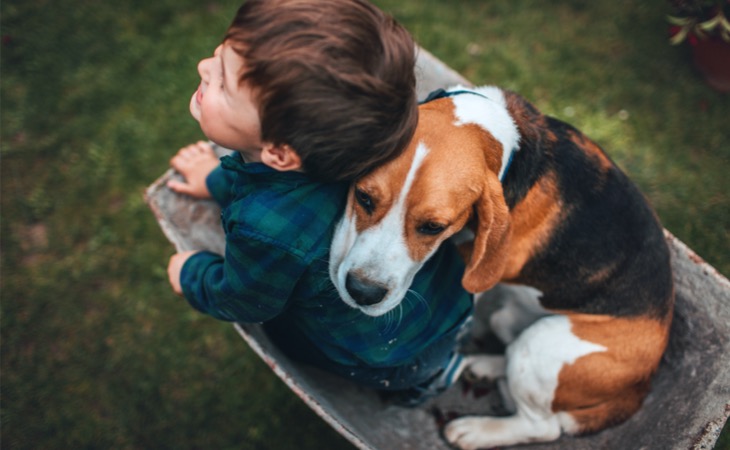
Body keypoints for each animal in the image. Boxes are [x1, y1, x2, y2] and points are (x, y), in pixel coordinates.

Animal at [328, 86, 672, 448]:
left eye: (434, 227)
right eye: (364, 197)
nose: (362, 291)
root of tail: (645, 380)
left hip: (541, 345)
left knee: (543, 425)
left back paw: (477, 430)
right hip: (511, 322)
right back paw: (489, 367)